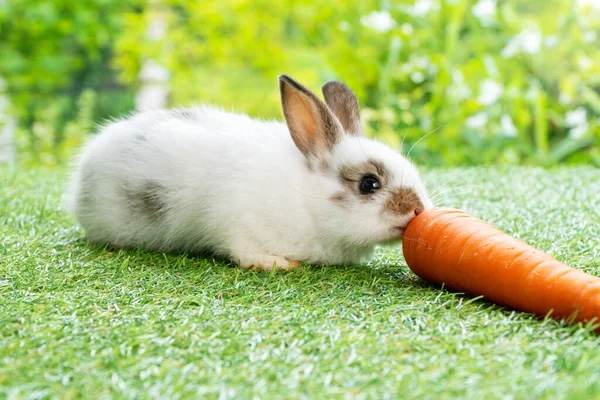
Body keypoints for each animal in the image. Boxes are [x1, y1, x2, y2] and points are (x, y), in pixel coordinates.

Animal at [67, 74, 432, 270]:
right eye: (369, 183)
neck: (305, 197)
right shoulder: (235, 222)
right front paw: (278, 264)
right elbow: (242, 251)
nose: (418, 209)